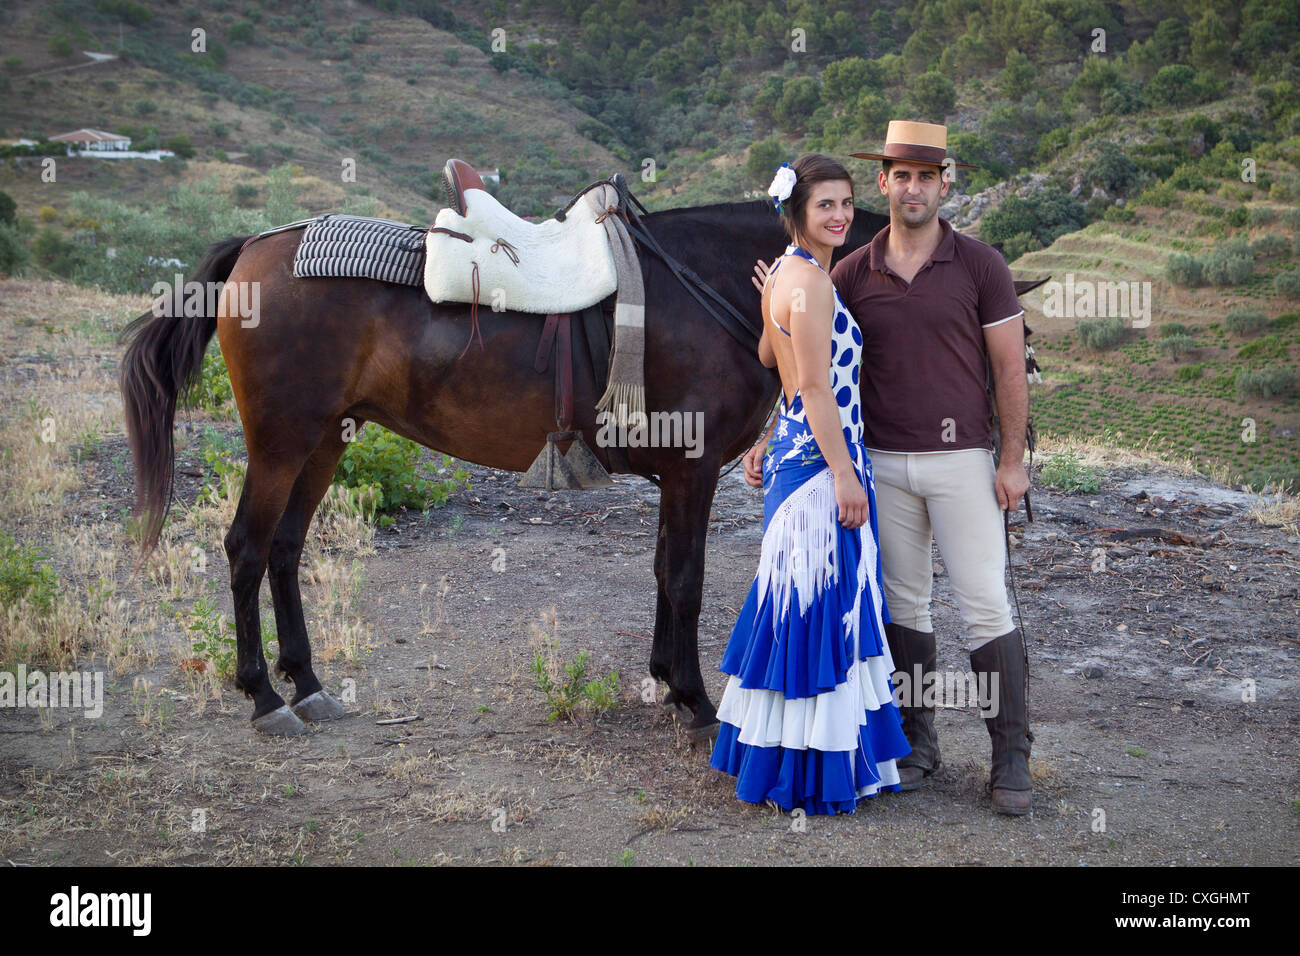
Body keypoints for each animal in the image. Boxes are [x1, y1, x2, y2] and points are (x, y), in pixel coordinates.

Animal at [119, 196, 894, 738]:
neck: (715, 282)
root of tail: (255, 247)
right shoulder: (693, 470)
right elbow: (685, 581)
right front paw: (695, 698)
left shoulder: (677, 478)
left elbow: (661, 573)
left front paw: (664, 678)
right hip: (282, 442)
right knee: (246, 550)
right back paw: (263, 694)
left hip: (325, 441)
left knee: (284, 549)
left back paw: (306, 683)